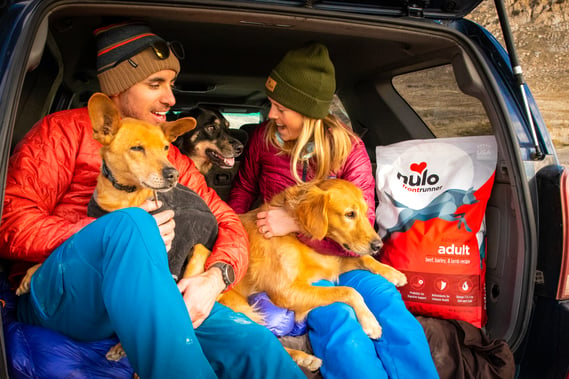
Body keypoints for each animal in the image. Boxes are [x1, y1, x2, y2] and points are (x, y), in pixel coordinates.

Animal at [189, 179, 406, 372]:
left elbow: (365, 259)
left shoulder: (331, 263)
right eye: (350, 214)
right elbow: (349, 291)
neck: (301, 236)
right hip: (241, 308)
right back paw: (302, 357)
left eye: (365, 210)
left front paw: (394, 273)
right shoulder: (286, 291)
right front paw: (370, 322)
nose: (379, 245)